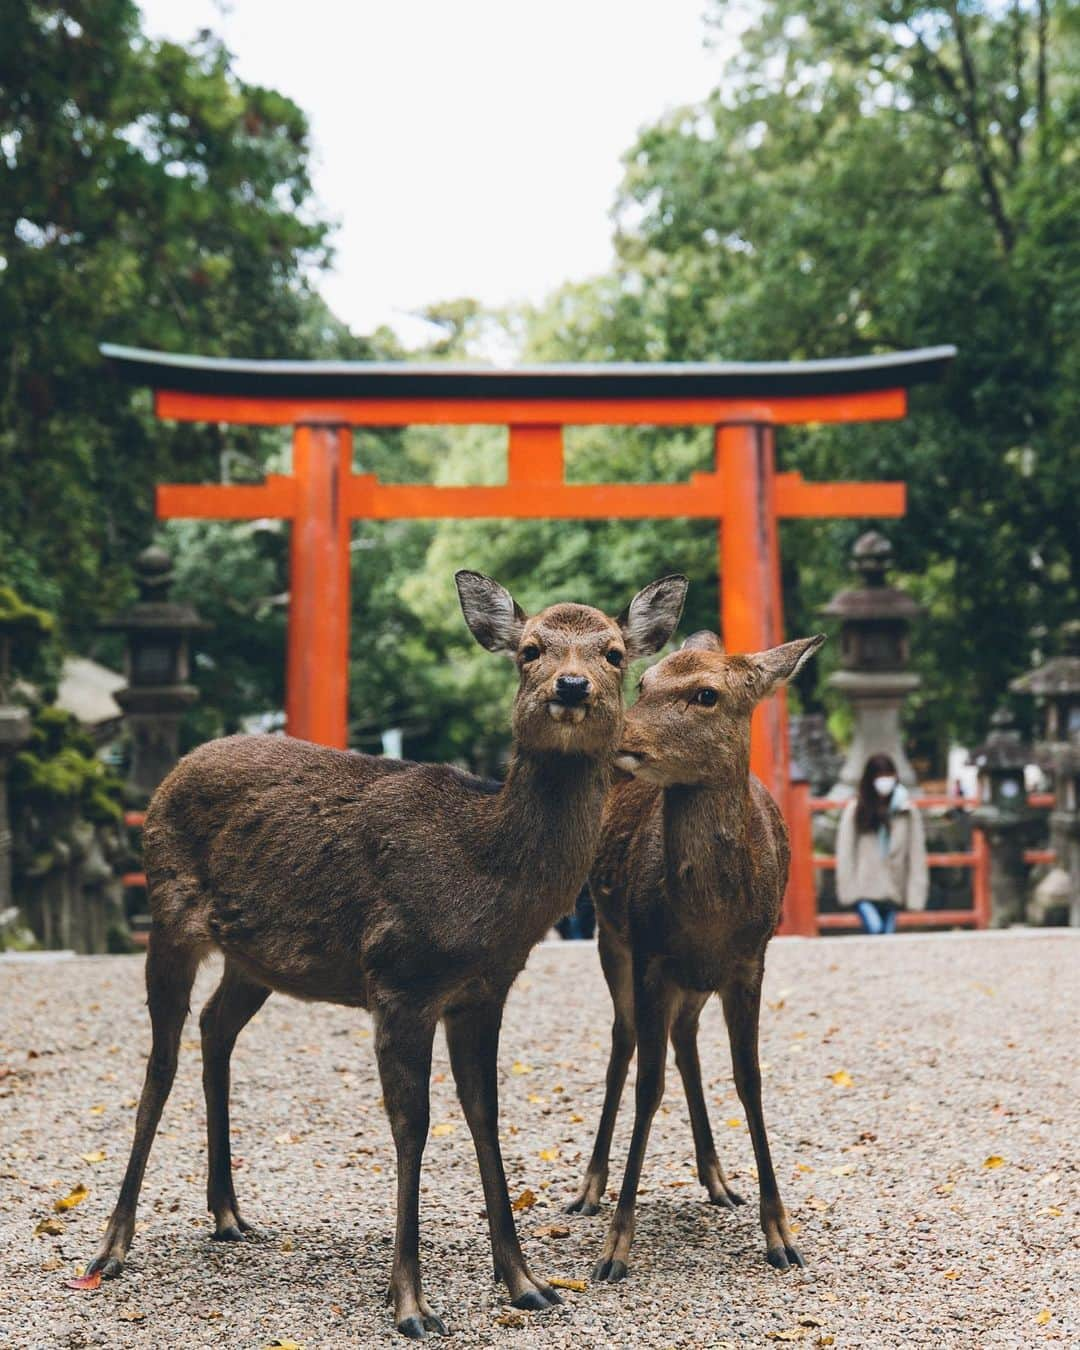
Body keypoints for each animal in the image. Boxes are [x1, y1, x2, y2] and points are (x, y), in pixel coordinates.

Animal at [82, 564, 683, 1333]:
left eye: (613, 652)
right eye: (529, 650)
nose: (571, 686)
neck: (485, 882)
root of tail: (176, 771)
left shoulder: (484, 990)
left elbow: (485, 1115)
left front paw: (526, 1282)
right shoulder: (400, 976)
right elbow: (412, 1123)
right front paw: (411, 1302)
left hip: (255, 957)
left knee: (215, 1027)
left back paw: (229, 1215)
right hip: (169, 913)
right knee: (160, 1060)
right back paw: (112, 1247)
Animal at [564, 626, 826, 1279]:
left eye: (707, 694)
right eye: (645, 681)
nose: (617, 735)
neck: (708, 918)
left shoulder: (750, 961)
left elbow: (749, 1079)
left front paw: (781, 1234)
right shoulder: (652, 957)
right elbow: (647, 1085)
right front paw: (615, 1247)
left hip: (695, 982)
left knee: (685, 1041)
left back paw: (717, 1178)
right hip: (611, 941)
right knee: (624, 1042)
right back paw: (589, 1188)